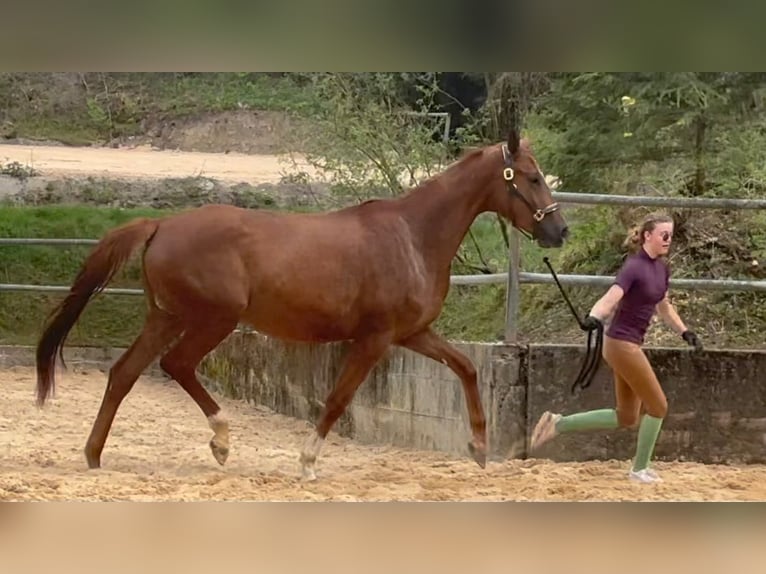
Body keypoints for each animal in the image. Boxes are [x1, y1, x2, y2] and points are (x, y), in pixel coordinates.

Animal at [36, 132, 568, 482]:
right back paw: (221, 441)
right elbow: (337, 399)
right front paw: (308, 463)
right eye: (531, 177)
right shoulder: (375, 339)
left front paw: (479, 447)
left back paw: (94, 455)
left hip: (166, 317)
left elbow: (466, 368)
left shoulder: (411, 333)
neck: (412, 236)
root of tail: (161, 224)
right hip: (212, 319)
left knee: (124, 373)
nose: (559, 231)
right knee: (176, 365)